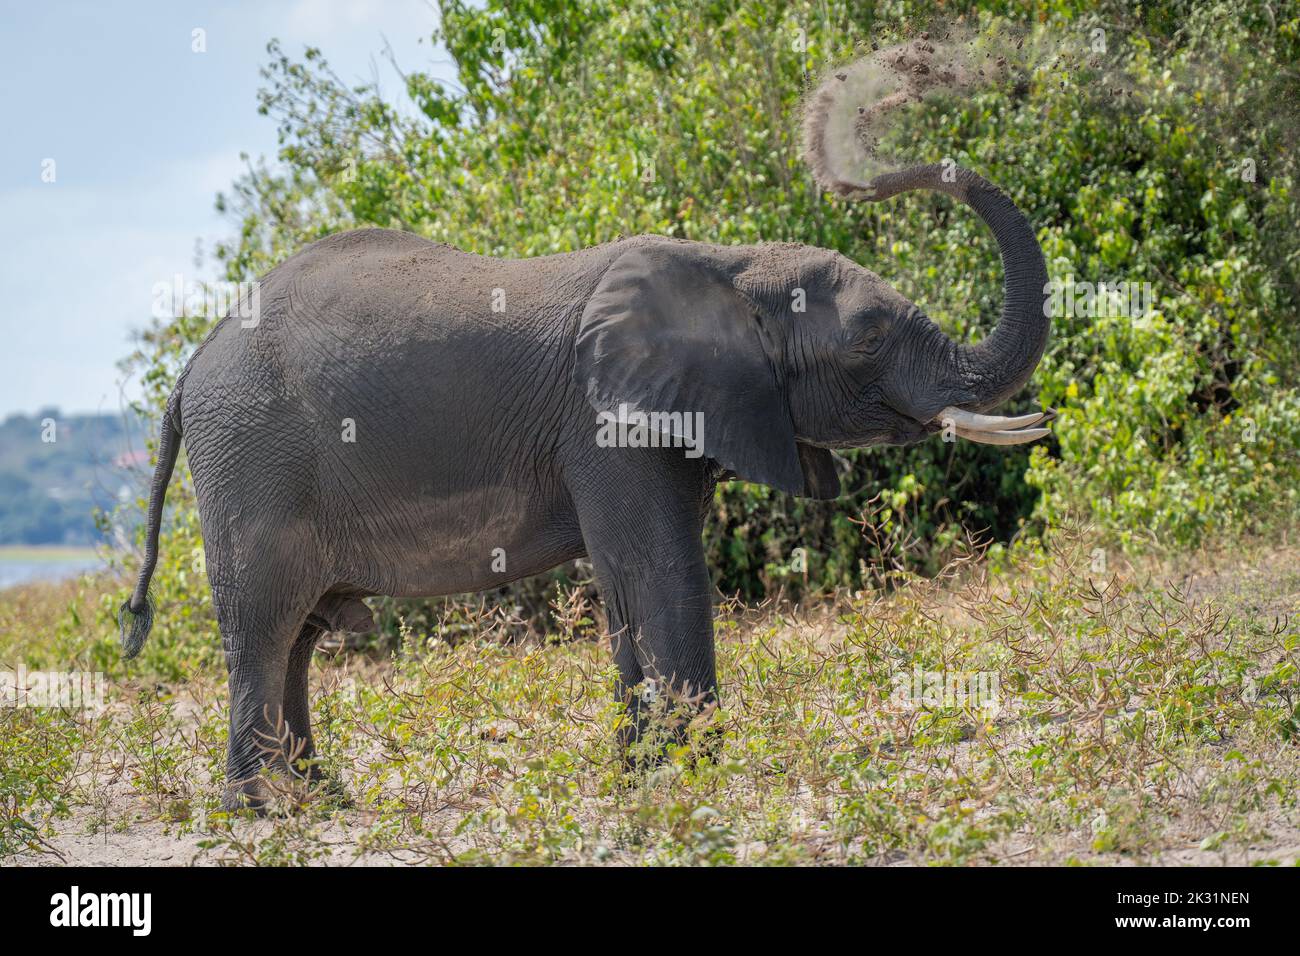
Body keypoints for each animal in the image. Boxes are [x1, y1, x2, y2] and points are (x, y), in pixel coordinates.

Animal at [119, 81, 1051, 812]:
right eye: (867, 342)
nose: (870, 162)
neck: (729, 261)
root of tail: (191, 364)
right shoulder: (604, 426)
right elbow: (661, 569)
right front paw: (689, 776)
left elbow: (637, 577)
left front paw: (644, 774)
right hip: (250, 454)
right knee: (264, 625)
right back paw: (261, 811)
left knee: (302, 635)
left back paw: (323, 798)